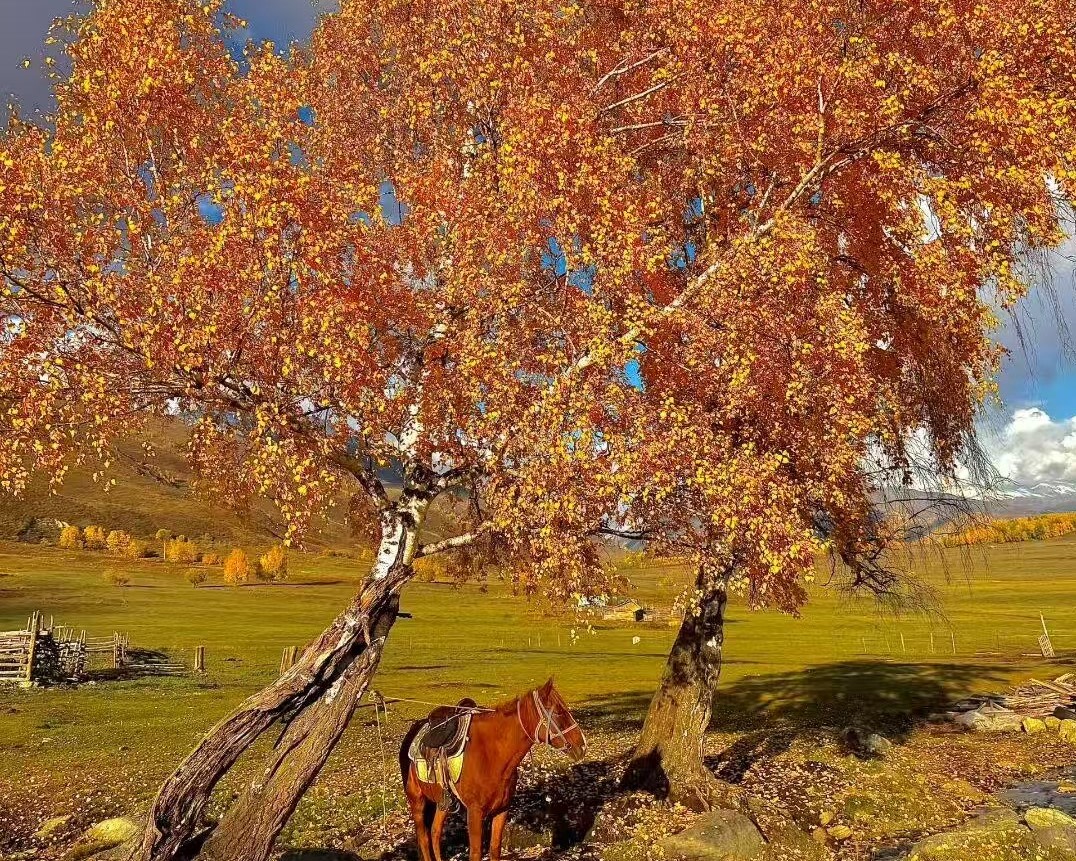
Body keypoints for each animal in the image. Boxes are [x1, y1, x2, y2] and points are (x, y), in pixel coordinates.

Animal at [399, 678, 586, 861]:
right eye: (559, 713)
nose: (583, 746)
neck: (492, 756)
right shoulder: (475, 814)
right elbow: (475, 853)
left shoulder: (501, 811)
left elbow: (495, 849)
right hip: (417, 801)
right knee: (424, 839)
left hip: (442, 803)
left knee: (435, 833)